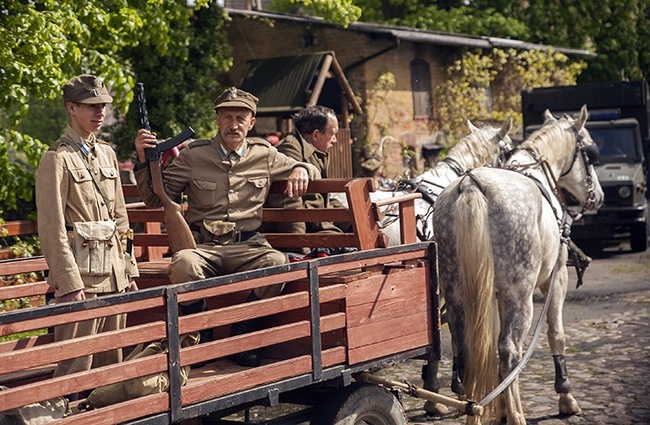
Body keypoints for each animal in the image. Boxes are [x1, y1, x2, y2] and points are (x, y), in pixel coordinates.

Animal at [430, 104, 604, 422]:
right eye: (590, 151)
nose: (598, 196)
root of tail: (471, 186)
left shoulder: (494, 295)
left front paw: (499, 407)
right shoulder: (555, 280)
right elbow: (556, 335)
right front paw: (565, 396)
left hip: (458, 295)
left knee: (470, 351)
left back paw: (477, 409)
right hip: (520, 295)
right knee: (510, 350)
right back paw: (515, 416)